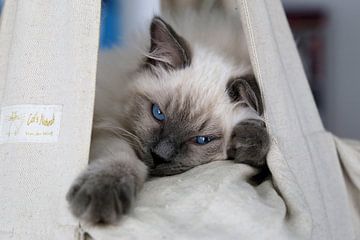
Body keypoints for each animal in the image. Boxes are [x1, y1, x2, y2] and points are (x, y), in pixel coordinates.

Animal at [67, 10, 270, 225]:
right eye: (158, 113)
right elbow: (120, 156)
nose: (159, 156)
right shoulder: (108, 127)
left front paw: (249, 140)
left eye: (201, 140)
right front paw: (102, 193)